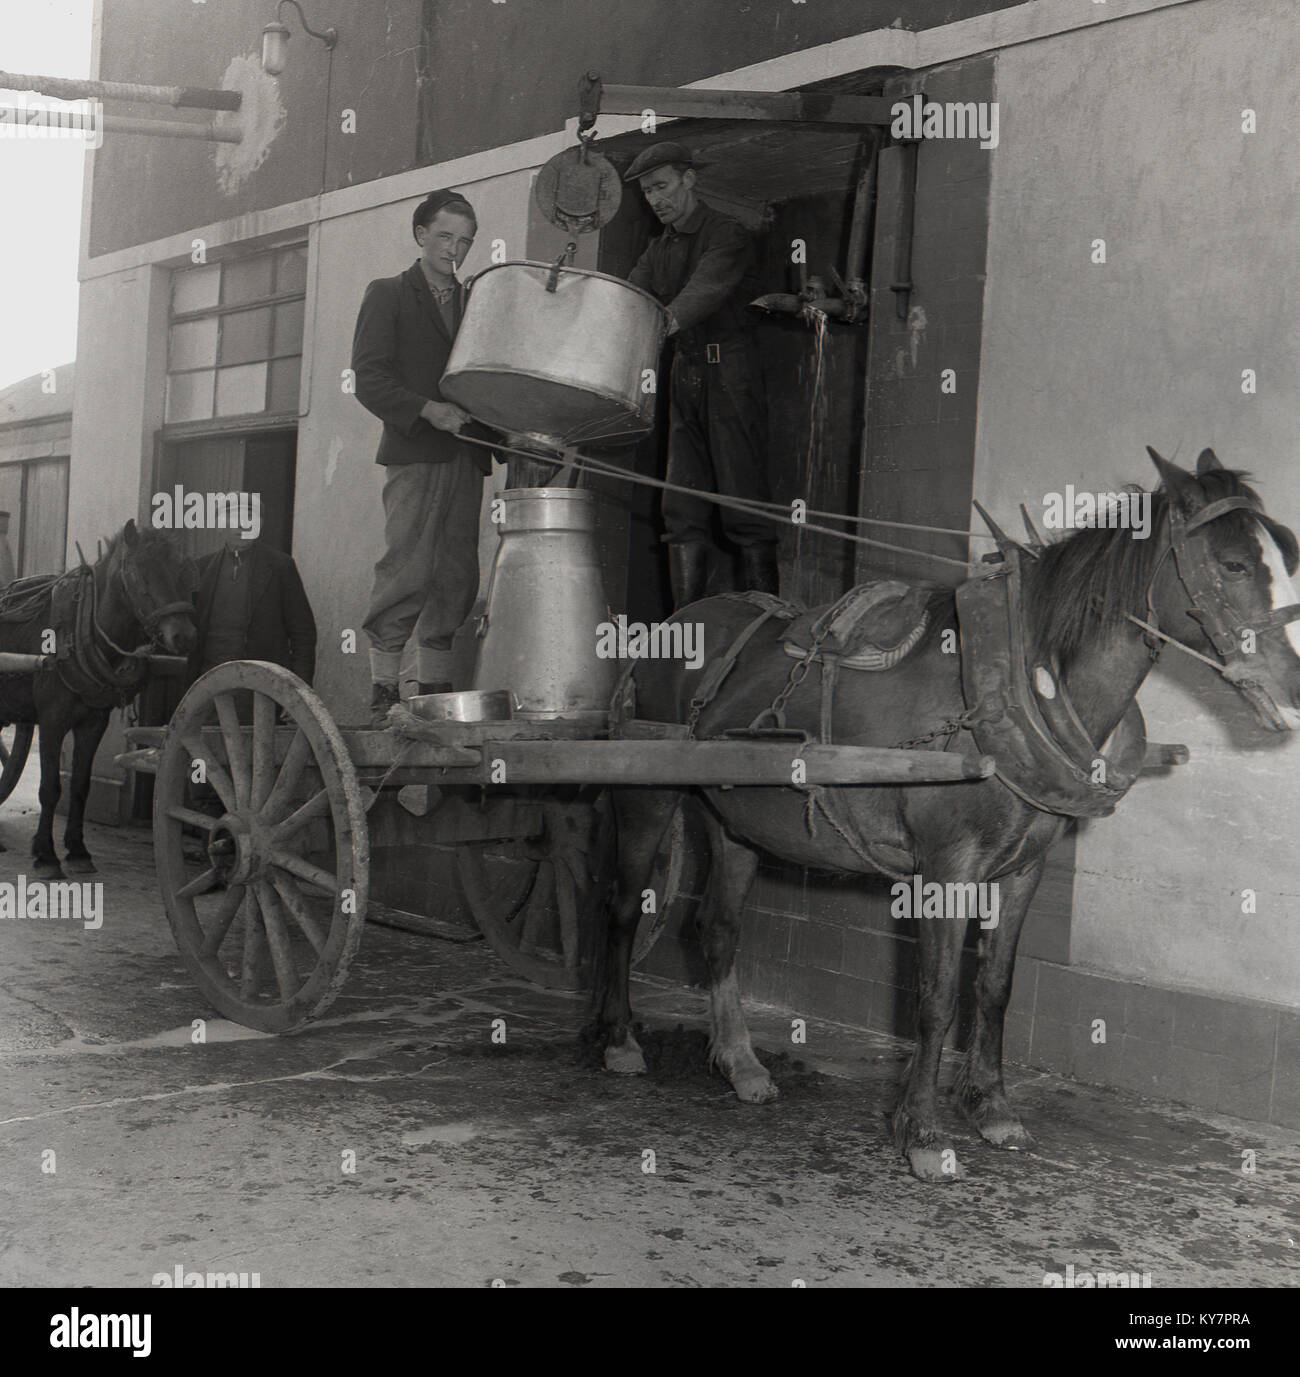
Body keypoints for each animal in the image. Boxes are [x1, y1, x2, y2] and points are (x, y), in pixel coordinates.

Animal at [0, 520, 198, 875]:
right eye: (139, 572)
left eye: (183, 571)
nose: (185, 636)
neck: (80, 632)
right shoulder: (52, 720)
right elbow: (50, 788)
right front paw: (46, 854)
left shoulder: (93, 723)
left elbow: (81, 786)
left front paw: (78, 850)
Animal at [597, 446, 1300, 1178]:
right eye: (1233, 564)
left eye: (1288, 555)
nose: (1294, 686)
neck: (1011, 694)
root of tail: (673, 625)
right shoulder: (946, 867)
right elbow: (935, 997)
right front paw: (923, 1131)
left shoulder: (1023, 870)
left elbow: (994, 985)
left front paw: (992, 1108)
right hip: (647, 797)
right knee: (621, 909)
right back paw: (620, 1043)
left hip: (735, 821)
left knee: (717, 930)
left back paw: (741, 1064)